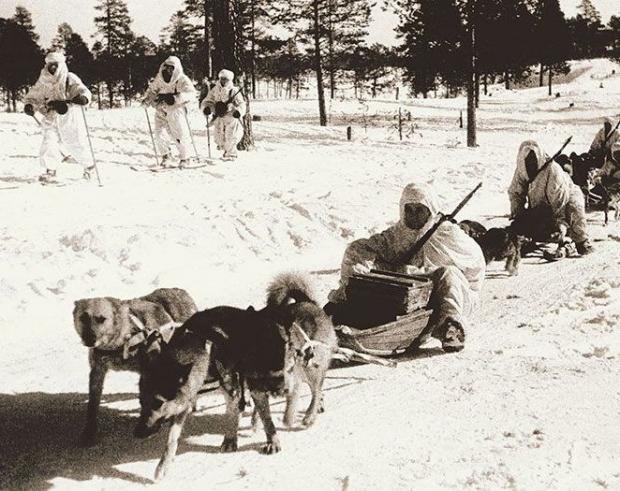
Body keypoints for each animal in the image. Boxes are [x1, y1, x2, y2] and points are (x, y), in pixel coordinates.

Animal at [73, 288, 197, 446]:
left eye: (101, 319)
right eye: (83, 317)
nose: (89, 339)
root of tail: (180, 291)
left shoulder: (148, 371)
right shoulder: (97, 372)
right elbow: (92, 406)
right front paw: (89, 433)